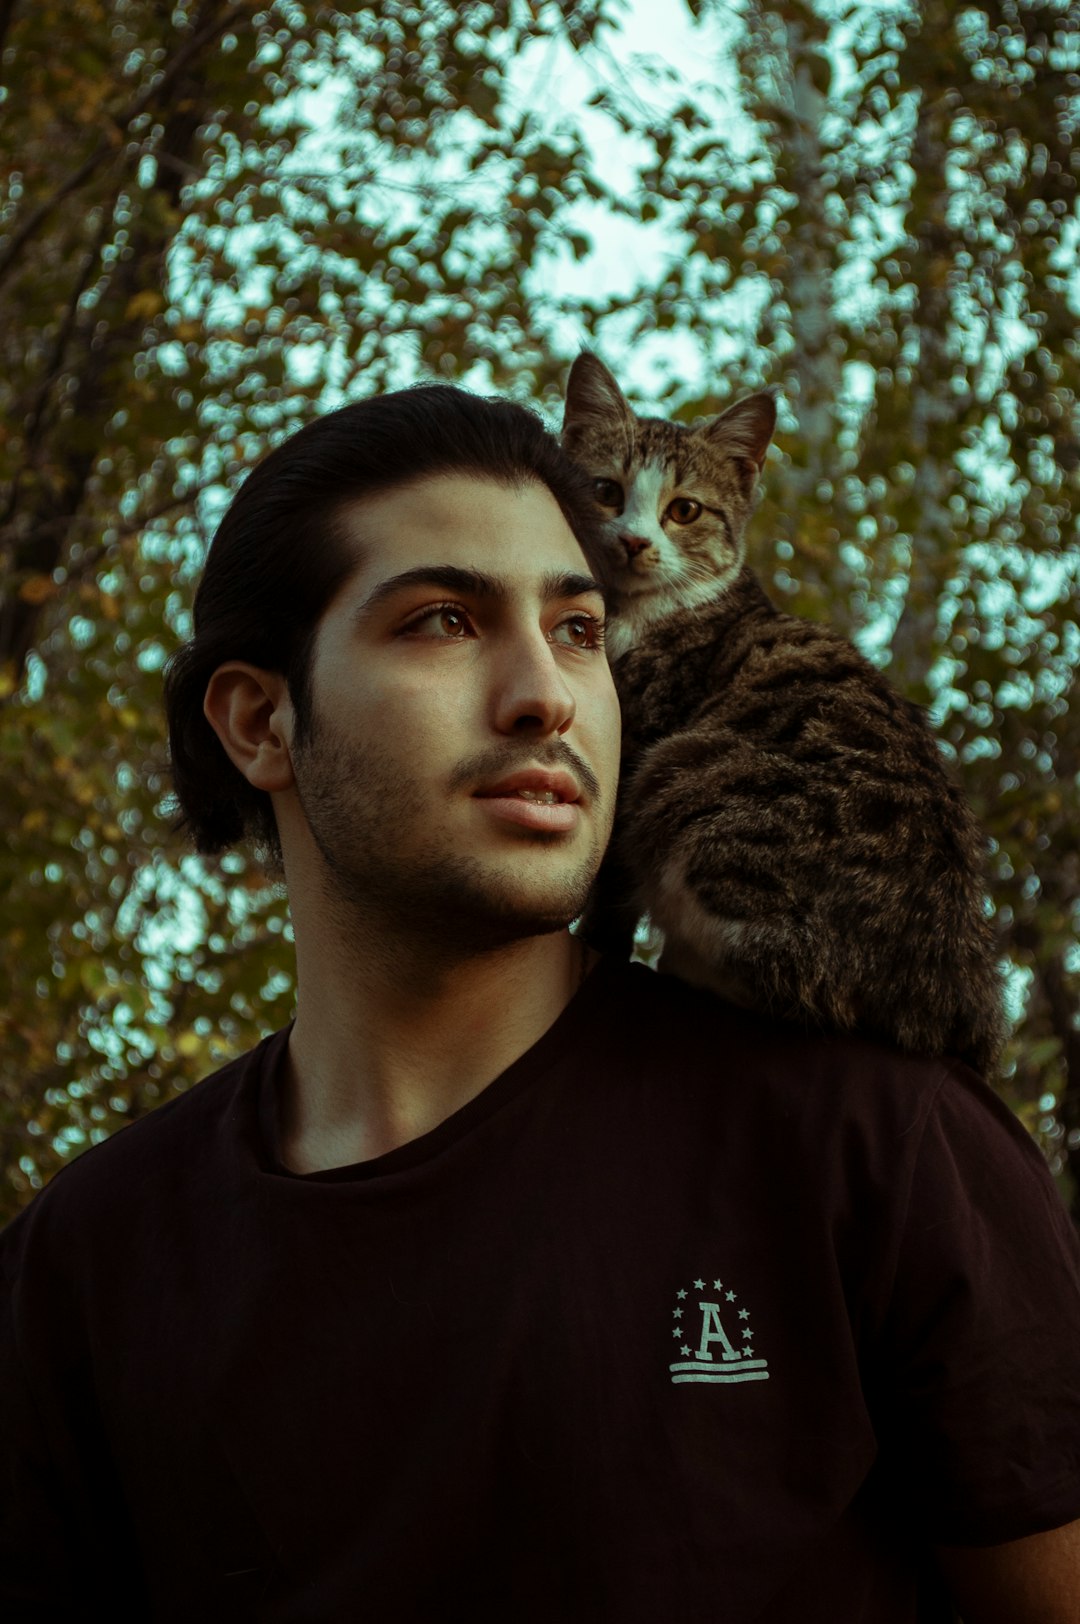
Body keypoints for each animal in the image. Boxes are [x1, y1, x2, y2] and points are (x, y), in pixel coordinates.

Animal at [558, 349, 1006, 1071]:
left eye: (685, 510)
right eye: (605, 491)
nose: (632, 542)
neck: (634, 617)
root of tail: (955, 989)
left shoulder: (634, 747)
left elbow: (611, 887)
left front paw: (602, 945)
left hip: (693, 789)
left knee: (801, 989)